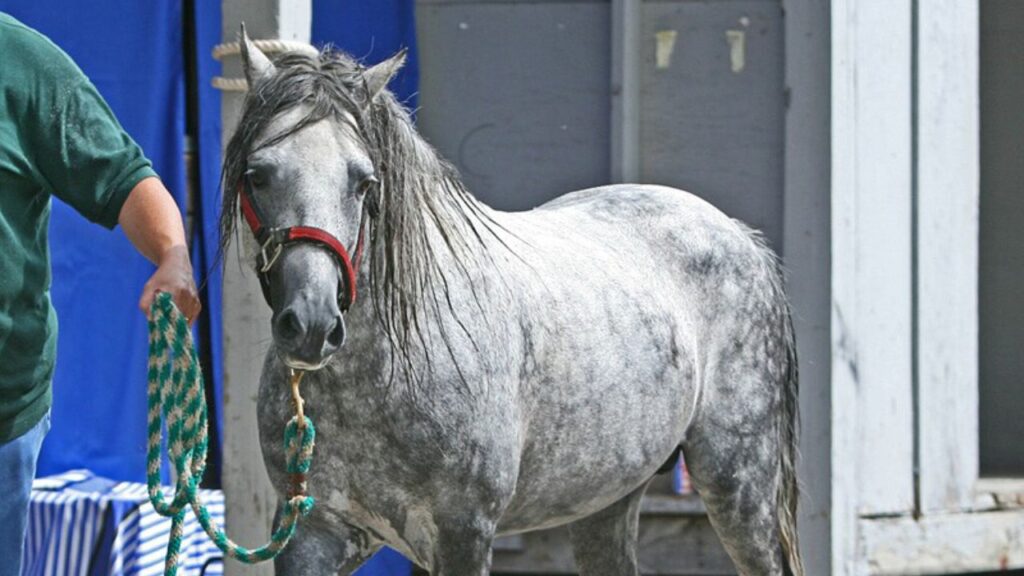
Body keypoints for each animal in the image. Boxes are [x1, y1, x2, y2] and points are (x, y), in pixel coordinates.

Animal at [220, 28, 803, 576]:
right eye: (257, 174)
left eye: (364, 182)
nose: (313, 325)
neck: (391, 366)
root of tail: (739, 234)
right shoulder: (312, 532)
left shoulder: (464, 534)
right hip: (606, 501)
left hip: (739, 487)